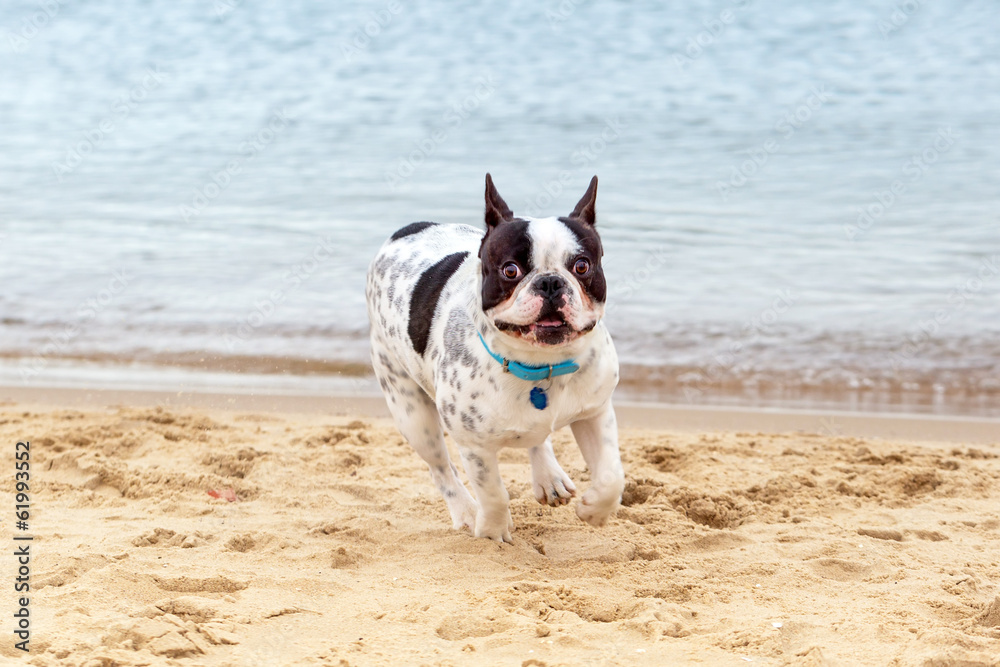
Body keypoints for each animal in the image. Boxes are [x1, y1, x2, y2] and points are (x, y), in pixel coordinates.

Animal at [364, 176, 620, 544]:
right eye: (510, 270)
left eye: (582, 266)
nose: (550, 282)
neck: (543, 365)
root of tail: (408, 230)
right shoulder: (474, 446)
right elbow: (493, 492)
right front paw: (492, 532)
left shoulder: (595, 412)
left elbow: (612, 475)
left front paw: (595, 511)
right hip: (411, 412)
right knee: (441, 469)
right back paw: (467, 513)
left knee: (539, 439)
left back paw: (549, 477)